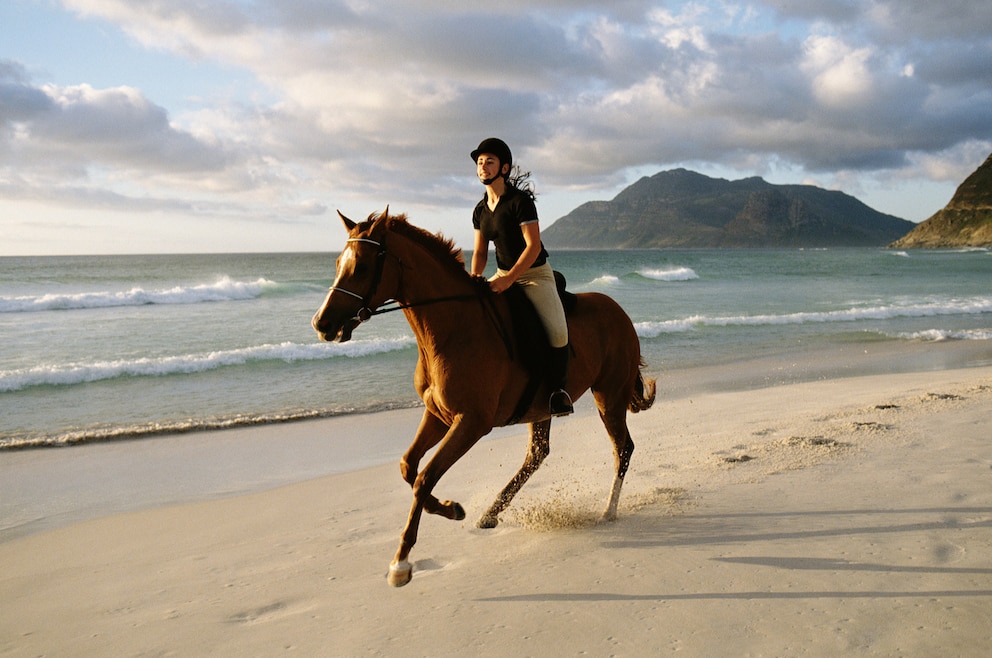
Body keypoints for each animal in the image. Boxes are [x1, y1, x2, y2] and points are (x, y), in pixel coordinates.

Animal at [314, 206, 656, 584]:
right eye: (337, 263)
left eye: (360, 267)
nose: (322, 324)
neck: (452, 327)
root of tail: (620, 312)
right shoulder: (438, 415)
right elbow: (409, 468)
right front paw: (452, 509)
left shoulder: (472, 422)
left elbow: (425, 477)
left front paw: (401, 562)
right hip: (543, 408)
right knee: (537, 455)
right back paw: (490, 513)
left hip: (608, 395)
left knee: (622, 448)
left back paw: (608, 512)